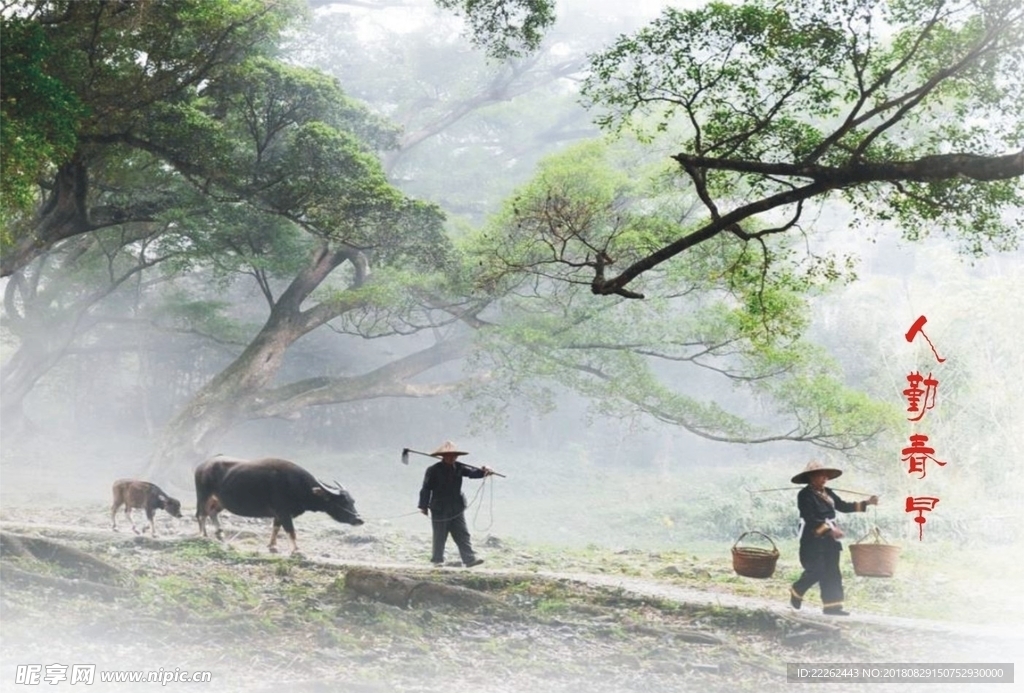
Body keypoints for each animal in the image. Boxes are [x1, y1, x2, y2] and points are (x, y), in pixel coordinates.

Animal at [194, 456, 364, 552]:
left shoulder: (279, 514)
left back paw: (220, 533)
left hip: (220, 501)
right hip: (203, 495)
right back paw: (203, 534)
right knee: (201, 514)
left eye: (353, 501)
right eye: (342, 502)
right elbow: (291, 530)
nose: (359, 519)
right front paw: (296, 550)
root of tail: (201, 466)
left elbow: (276, 528)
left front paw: (272, 545)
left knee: (212, 512)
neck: (298, 486)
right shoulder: (284, 512)